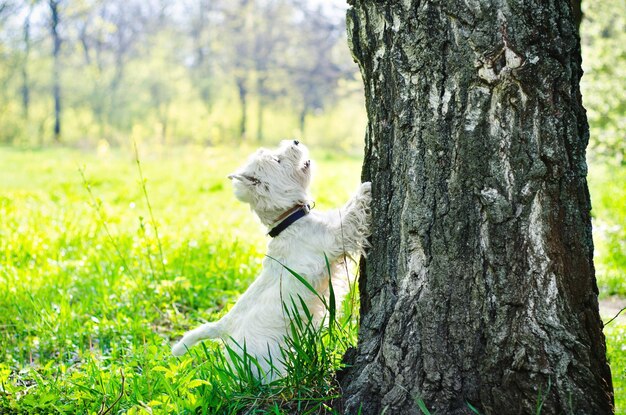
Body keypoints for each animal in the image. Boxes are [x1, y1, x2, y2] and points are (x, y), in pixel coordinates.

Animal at [171, 141, 370, 384]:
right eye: (277, 160)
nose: (295, 141)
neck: (289, 220)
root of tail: (224, 327)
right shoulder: (334, 238)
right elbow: (351, 214)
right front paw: (365, 188)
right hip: (264, 363)